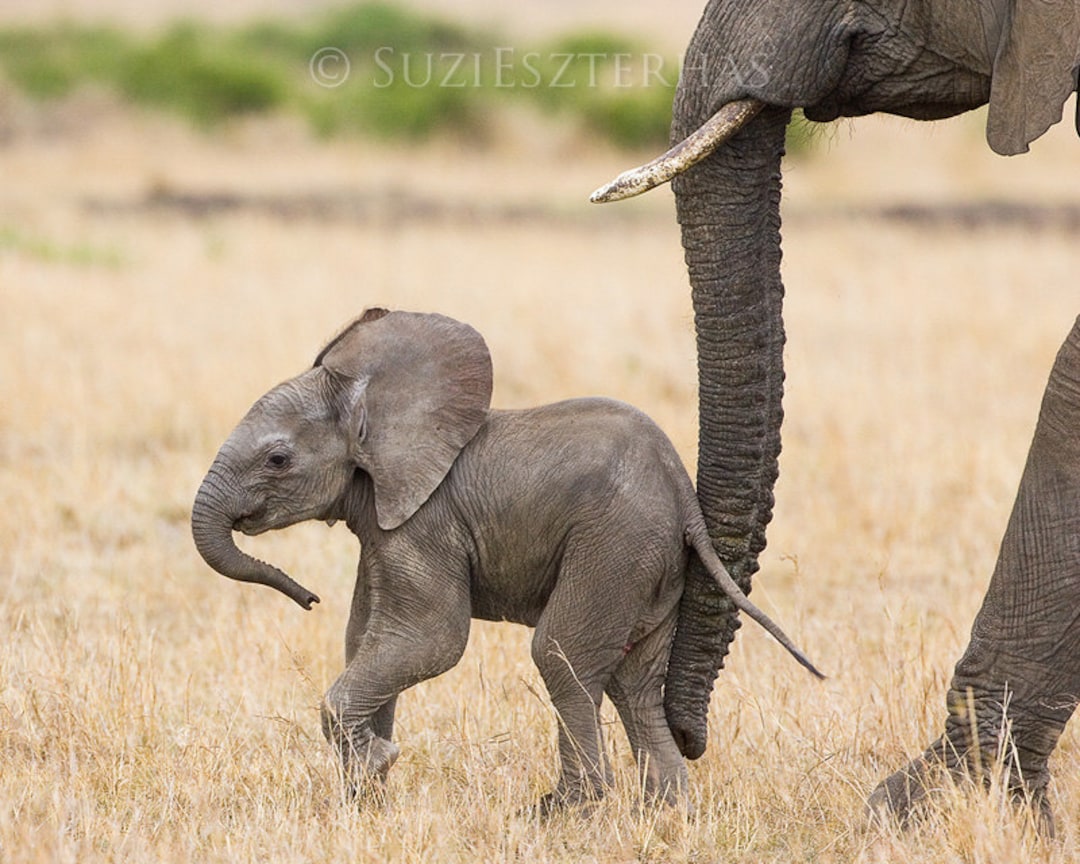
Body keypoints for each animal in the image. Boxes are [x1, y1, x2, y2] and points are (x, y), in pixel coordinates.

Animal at [192, 308, 816, 812]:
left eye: (277, 459)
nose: (308, 598)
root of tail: (684, 498)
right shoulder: (386, 525)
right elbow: (365, 639)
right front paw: (362, 799)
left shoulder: (426, 523)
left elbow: (429, 640)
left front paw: (375, 764)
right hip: (651, 565)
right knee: (633, 683)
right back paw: (666, 815)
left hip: (616, 545)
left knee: (561, 654)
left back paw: (564, 811)